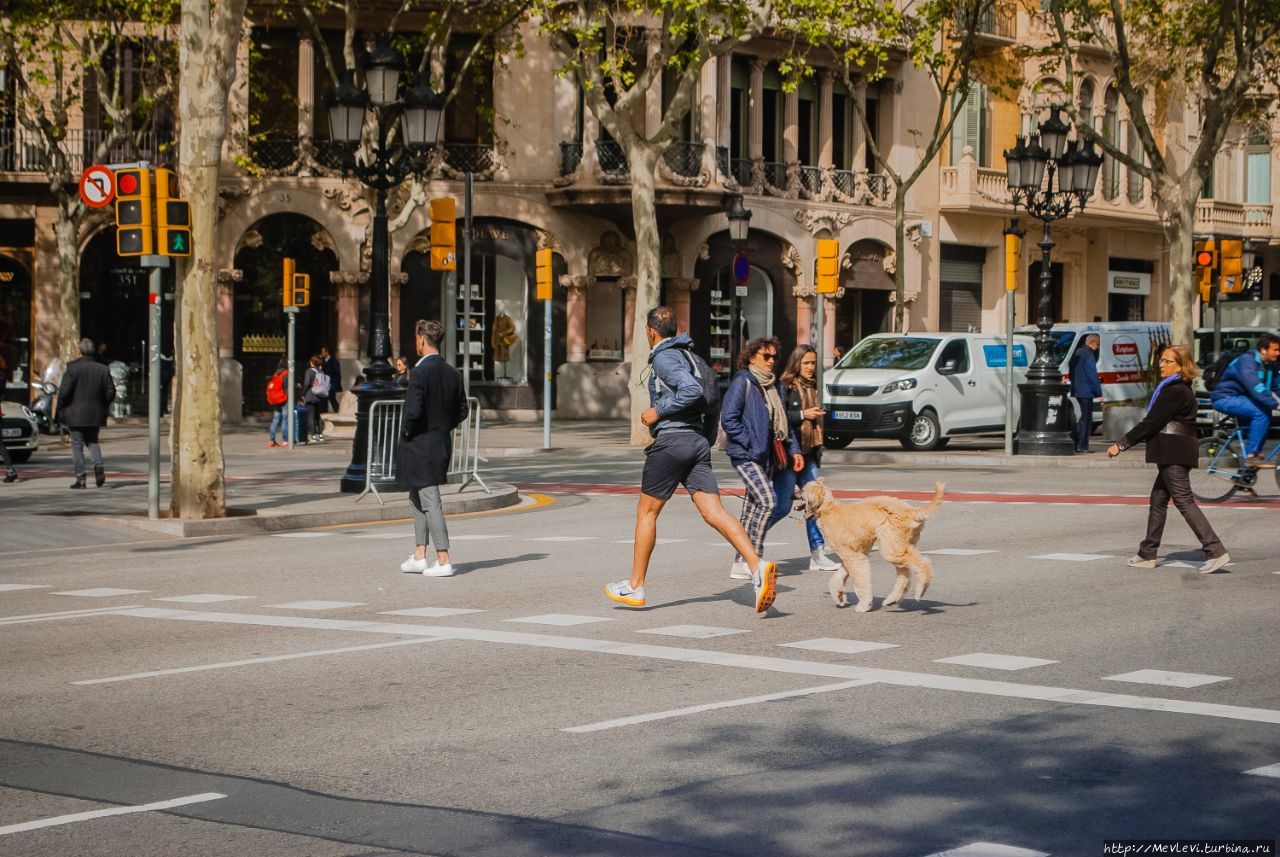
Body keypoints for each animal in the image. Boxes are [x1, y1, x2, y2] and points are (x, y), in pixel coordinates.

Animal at [803, 483, 947, 611]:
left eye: (803, 490)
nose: (796, 494)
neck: (827, 509)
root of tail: (912, 511)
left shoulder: (853, 556)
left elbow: (860, 581)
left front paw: (864, 605)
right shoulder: (855, 555)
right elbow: (838, 577)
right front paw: (839, 597)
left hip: (891, 547)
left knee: (922, 563)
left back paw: (922, 588)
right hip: (897, 545)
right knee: (904, 575)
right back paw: (893, 599)